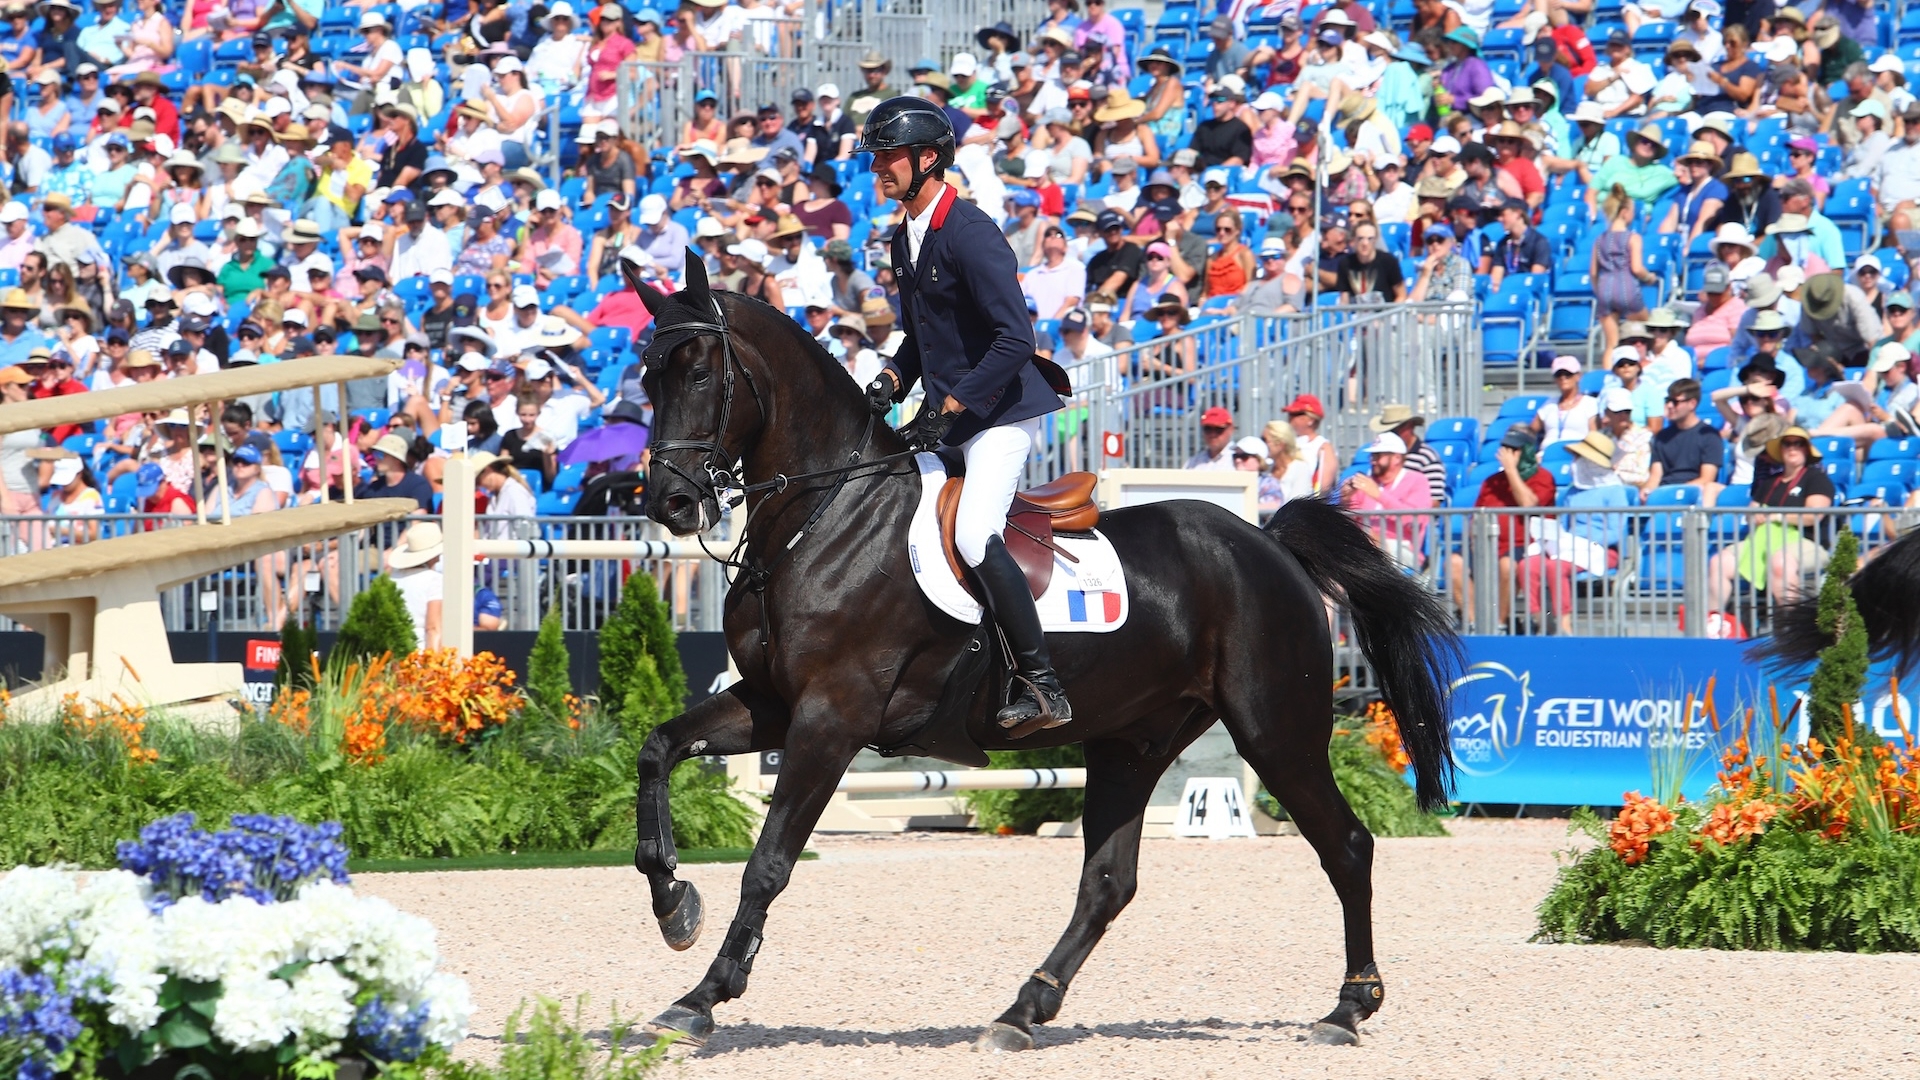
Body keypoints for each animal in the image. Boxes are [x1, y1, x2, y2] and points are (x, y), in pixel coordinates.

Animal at [625, 255, 1451, 1045]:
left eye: (699, 371)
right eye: (647, 374)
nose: (668, 502)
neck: (826, 517)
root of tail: (1268, 543)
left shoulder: (831, 719)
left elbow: (767, 864)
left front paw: (701, 999)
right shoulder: (772, 704)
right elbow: (658, 748)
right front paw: (673, 903)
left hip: (1276, 731)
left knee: (1346, 846)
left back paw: (1349, 1006)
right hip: (1133, 742)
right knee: (1109, 882)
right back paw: (1024, 1010)